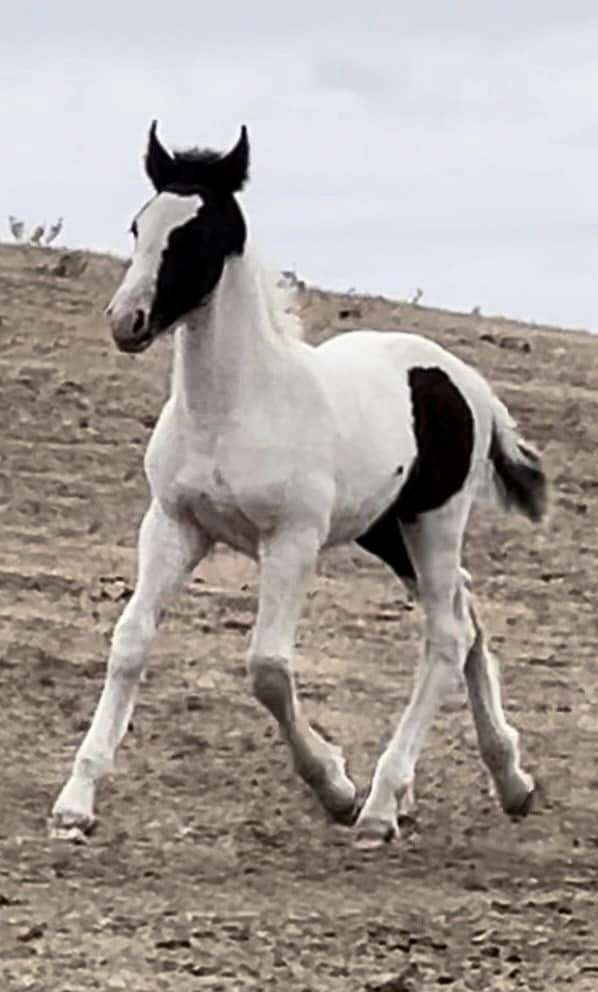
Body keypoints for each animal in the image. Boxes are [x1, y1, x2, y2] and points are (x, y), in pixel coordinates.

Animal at [51, 118, 548, 844]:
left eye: (199, 233)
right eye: (139, 225)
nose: (126, 321)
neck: (233, 406)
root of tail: (468, 382)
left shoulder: (292, 541)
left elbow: (267, 668)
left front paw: (335, 785)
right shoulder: (173, 525)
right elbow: (131, 642)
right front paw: (76, 801)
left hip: (433, 520)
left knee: (447, 635)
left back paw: (380, 805)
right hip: (385, 530)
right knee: (468, 615)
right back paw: (510, 780)